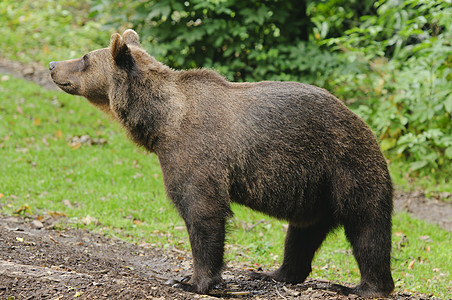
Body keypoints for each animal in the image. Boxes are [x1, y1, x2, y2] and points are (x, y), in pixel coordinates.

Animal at [49, 29, 394, 296]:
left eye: (84, 58)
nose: (53, 65)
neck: (160, 122)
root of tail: (365, 126)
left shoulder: (194, 152)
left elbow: (201, 210)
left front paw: (193, 281)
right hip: (315, 191)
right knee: (302, 234)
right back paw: (272, 273)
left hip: (345, 166)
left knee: (367, 228)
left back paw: (363, 287)